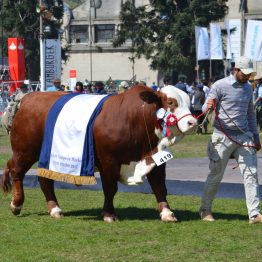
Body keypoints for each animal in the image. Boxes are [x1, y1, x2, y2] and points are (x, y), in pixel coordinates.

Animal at [1, 85, 196, 222]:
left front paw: (167, 212)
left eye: (189, 103)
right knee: (16, 171)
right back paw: (16, 204)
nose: (193, 122)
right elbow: (110, 188)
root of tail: (29, 98)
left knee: (44, 180)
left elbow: (160, 187)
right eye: (171, 103)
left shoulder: (155, 158)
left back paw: (55, 209)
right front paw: (109, 214)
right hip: (25, 151)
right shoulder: (108, 160)